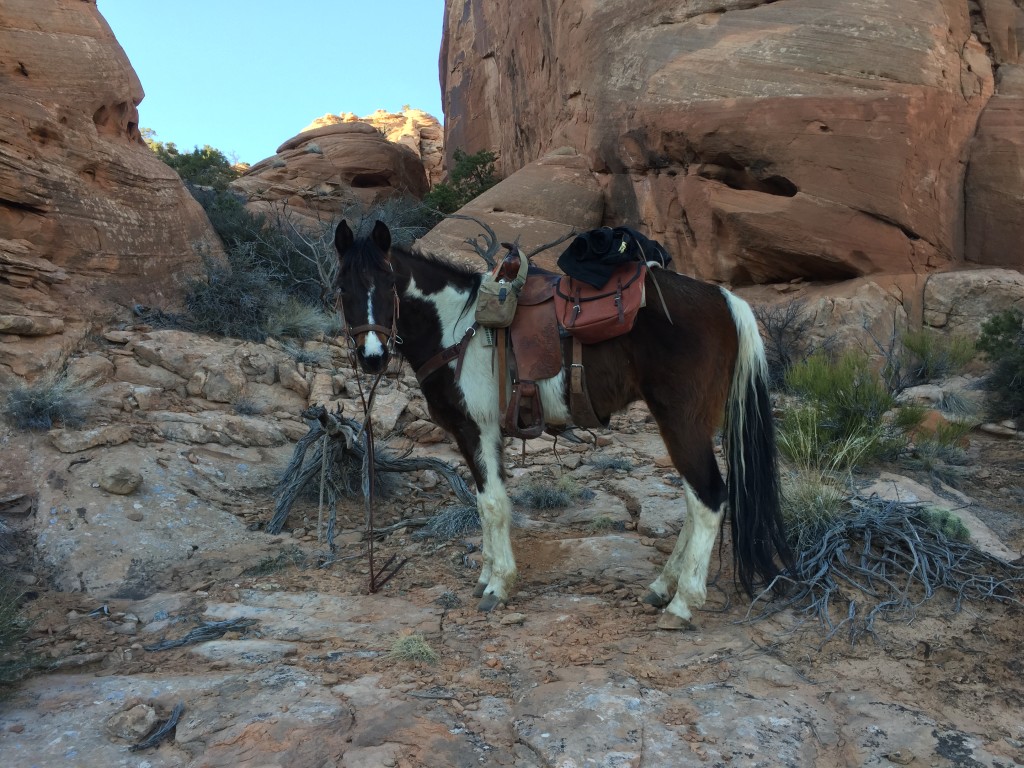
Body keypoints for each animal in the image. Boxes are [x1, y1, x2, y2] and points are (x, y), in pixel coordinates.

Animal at [332, 219, 792, 629]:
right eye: (342, 288)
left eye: (388, 283)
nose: (371, 357)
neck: (456, 328)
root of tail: (726, 300)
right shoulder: (478, 434)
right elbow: (484, 503)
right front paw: (486, 575)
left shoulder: (478, 428)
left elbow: (493, 504)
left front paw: (498, 586)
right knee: (695, 501)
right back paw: (662, 587)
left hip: (682, 421)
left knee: (709, 499)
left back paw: (682, 604)